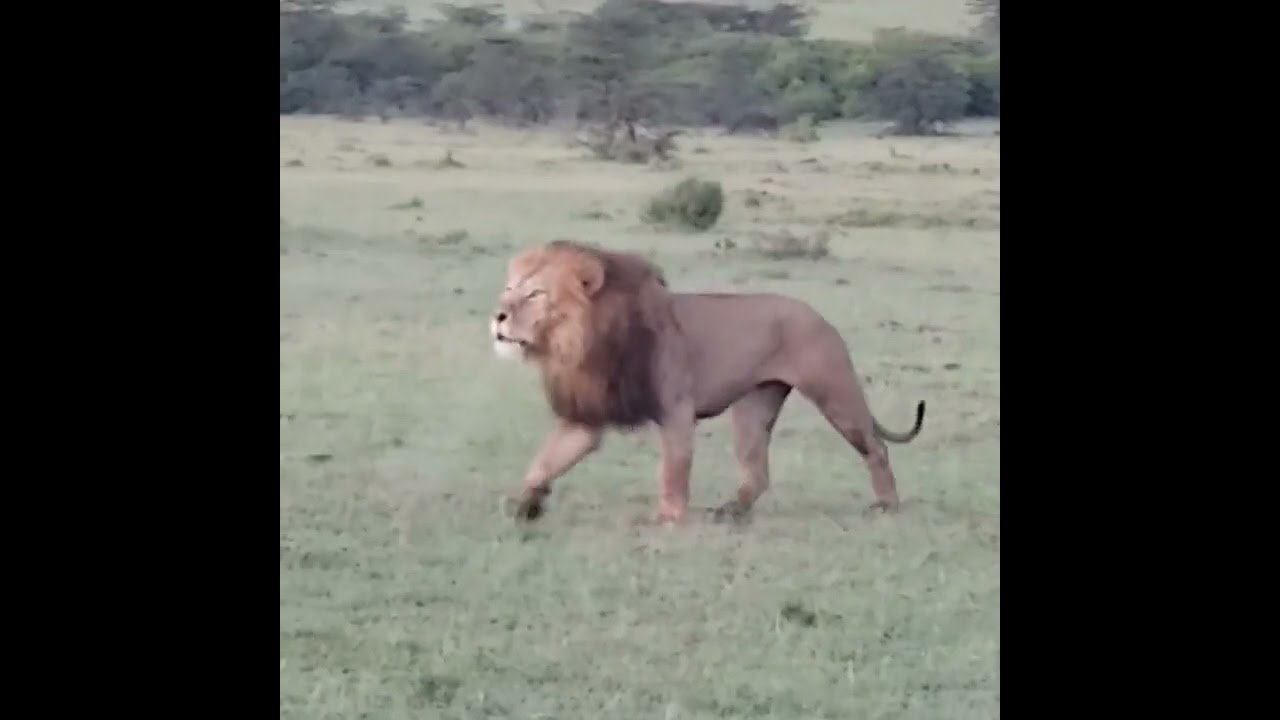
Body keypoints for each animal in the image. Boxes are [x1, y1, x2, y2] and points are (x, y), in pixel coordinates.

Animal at [490, 240, 926, 523]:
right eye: (509, 289)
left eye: (535, 294)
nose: (498, 315)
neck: (580, 341)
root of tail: (819, 316)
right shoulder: (587, 416)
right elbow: (545, 460)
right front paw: (526, 505)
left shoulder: (677, 410)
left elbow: (674, 467)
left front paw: (670, 516)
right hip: (755, 406)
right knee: (758, 470)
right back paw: (731, 511)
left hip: (833, 390)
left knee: (876, 447)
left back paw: (887, 505)